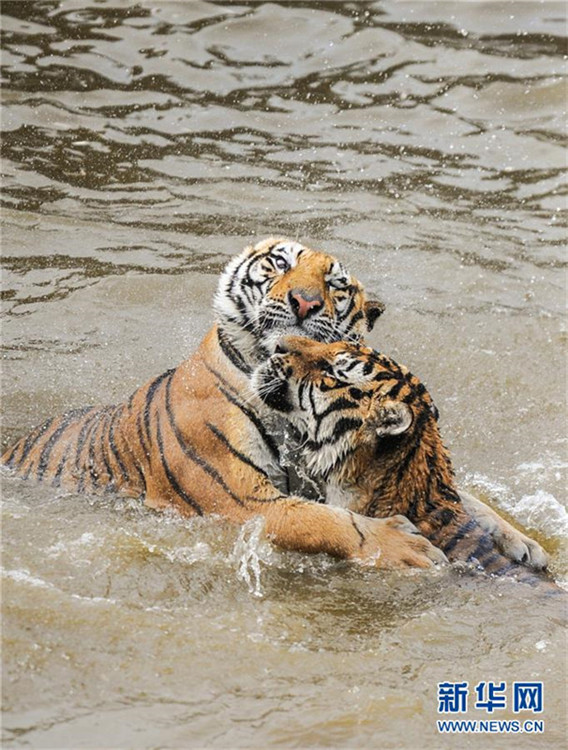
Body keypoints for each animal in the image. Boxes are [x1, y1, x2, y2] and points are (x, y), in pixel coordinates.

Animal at [2, 237, 546, 569]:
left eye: (336, 285)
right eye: (280, 264)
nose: (304, 302)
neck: (293, 422)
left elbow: (463, 496)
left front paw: (523, 543)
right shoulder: (243, 500)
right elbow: (327, 523)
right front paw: (405, 546)